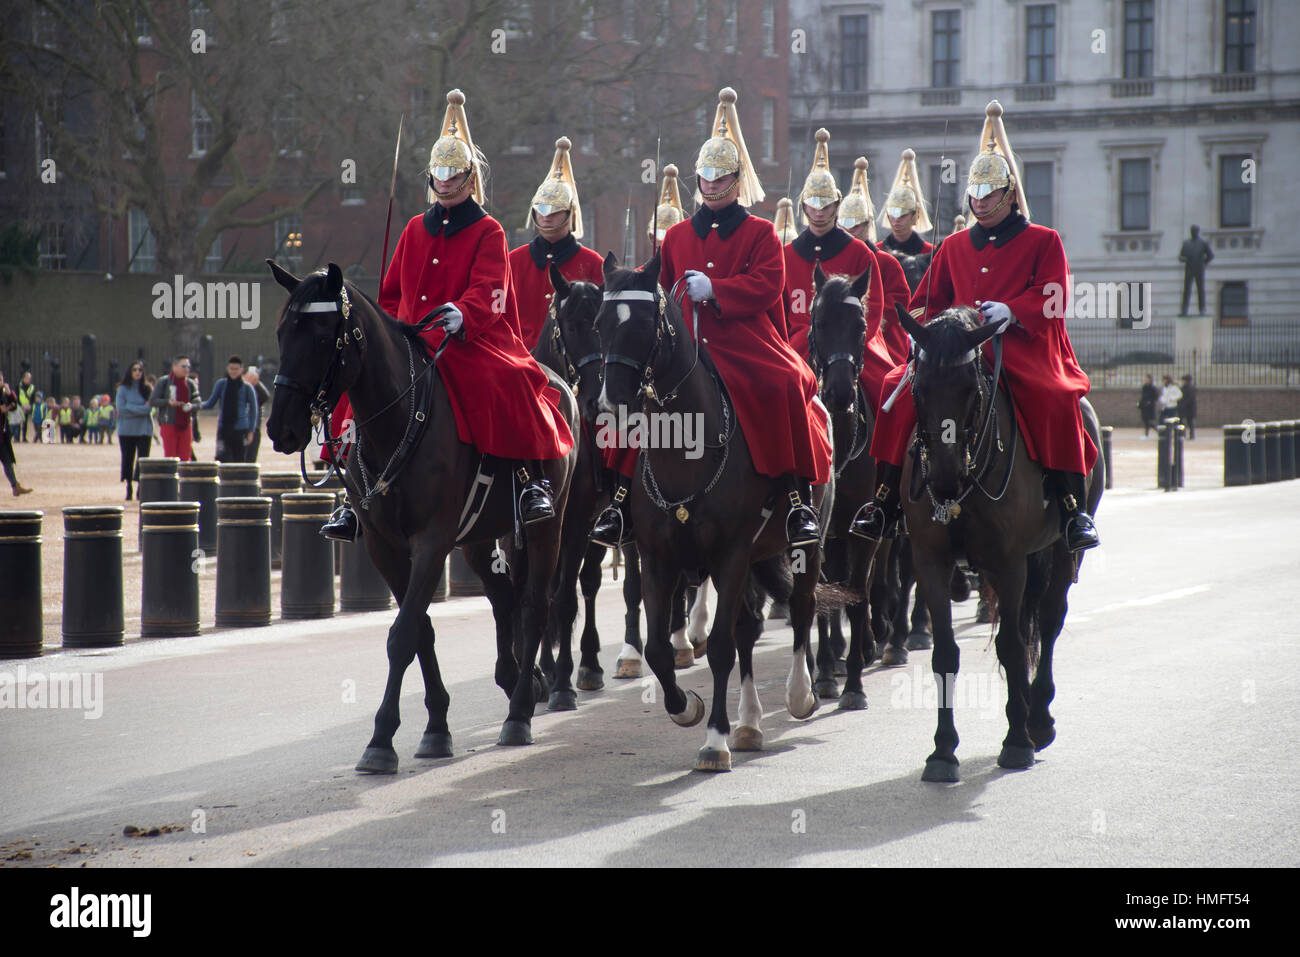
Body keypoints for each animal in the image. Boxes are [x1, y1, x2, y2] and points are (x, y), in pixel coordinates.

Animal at [266, 260, 577, 769]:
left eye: (321, 336)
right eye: (280, 332)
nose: (280, 428)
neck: (398, 421)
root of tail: (557, 381)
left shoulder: (432, 542)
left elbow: (403, 634)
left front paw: (381, 738)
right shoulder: (385, 546)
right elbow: (421, 631)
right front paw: (435, 725)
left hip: (548, 527)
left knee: (534, 604)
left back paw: (518, 714)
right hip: (477, 539)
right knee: (504, 598)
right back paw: (517, 679)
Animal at [595, 252, 826, 769]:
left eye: (644, 324)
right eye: (601, 324)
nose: (610, 406)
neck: (684, 448)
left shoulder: (731, 553)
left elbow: (719, 648)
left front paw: (714, 739)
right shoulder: (658, 557)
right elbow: (659, 649)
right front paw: (686, 708)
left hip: (803, 544)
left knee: (802, 608)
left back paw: (799, 694)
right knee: (749, 627)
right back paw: (749, 722)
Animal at [899, 302, 1102, 780]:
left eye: (970, 390)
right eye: (919, 387)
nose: (944, 479)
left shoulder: (1010, 563)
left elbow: (1011, 646)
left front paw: (1016, 742)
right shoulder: (930, 561)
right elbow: (944, 653)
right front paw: (942, 750)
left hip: (1060, 554)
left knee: (1048, 621)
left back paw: (1038, 719)